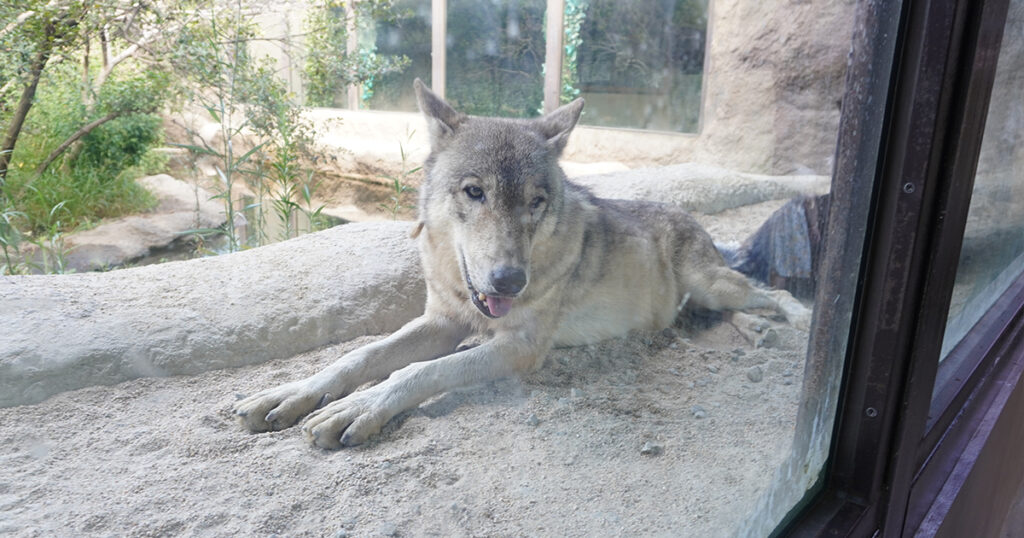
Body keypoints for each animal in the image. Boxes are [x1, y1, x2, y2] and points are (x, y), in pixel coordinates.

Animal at [234, 80, 815, 448]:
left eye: (536, 202)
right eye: (475, 192)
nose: (510, 281)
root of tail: (690, 216)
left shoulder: (520, 347)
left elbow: (420, 371)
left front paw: (361, 407)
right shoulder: (441, 321)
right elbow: (359, 356)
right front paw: (292, 394)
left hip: (713, 281)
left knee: (772, 291)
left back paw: (798, 321)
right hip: (707, 293)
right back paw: (759, 330)